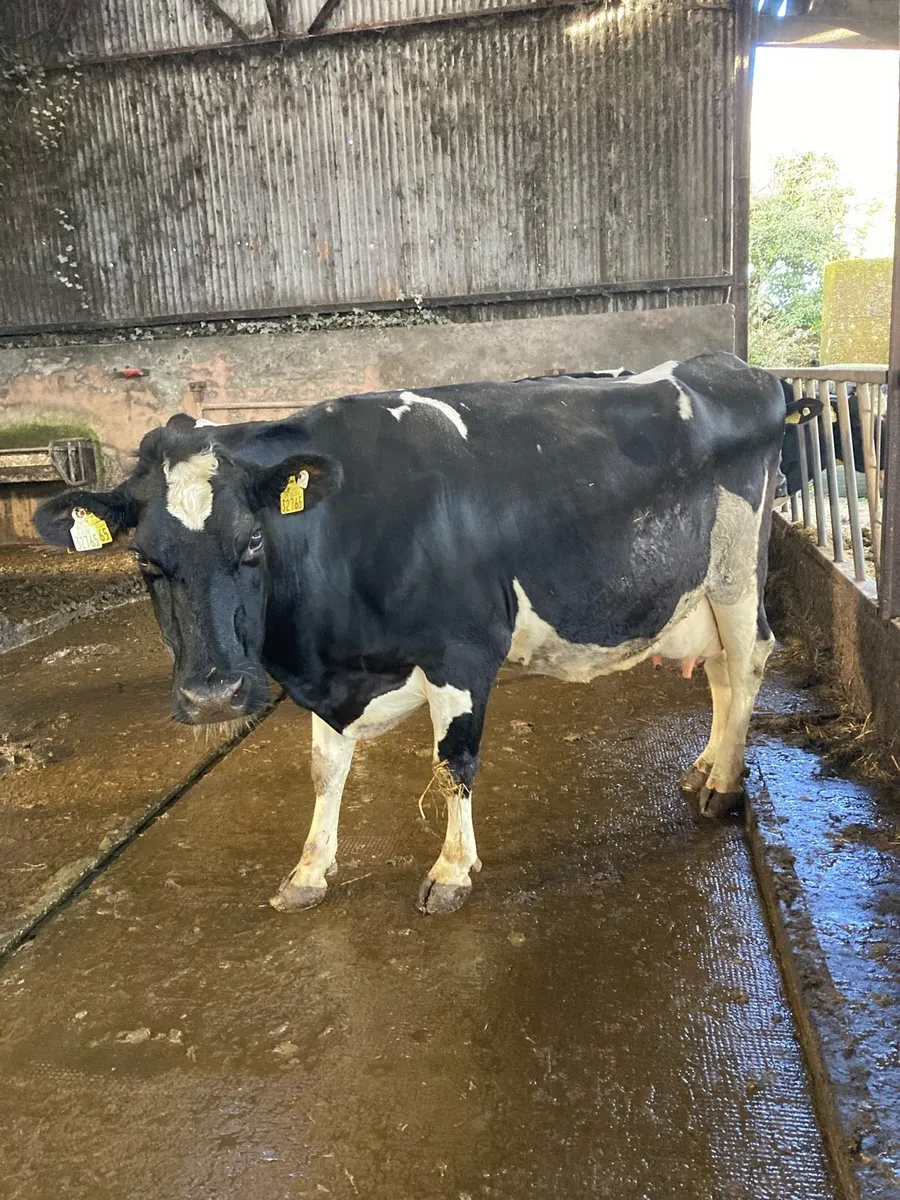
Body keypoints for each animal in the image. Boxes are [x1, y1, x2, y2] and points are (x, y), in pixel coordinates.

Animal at [35, 352, 791, 916]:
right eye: (143, 560)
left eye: (252, 542)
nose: (214, 697)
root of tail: (738, 367)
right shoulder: (338, 678)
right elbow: (325, 769)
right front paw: (309, 871)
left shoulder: (462, 649)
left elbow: (452, 763)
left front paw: (451, 872)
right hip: (699, 595)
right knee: (720, 676)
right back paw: (706, 764)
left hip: (735, 573)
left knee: (750, 661)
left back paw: (724, 786)